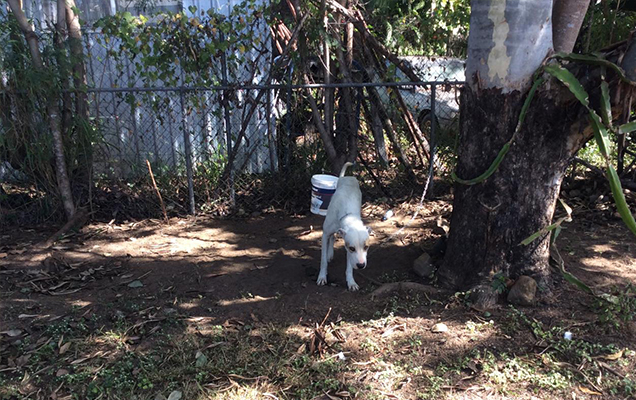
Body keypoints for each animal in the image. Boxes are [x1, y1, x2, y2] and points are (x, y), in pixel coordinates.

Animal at [318, 162, 372, 290]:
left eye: (366, 247)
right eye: (352, 248)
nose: (361, 265)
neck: (348, 215)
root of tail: (347, 177)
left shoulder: (348, 247)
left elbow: (349, 267)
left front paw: (351, 282)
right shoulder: (325, 234)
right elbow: (323, 260)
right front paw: (322, 277)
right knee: (332, 237)